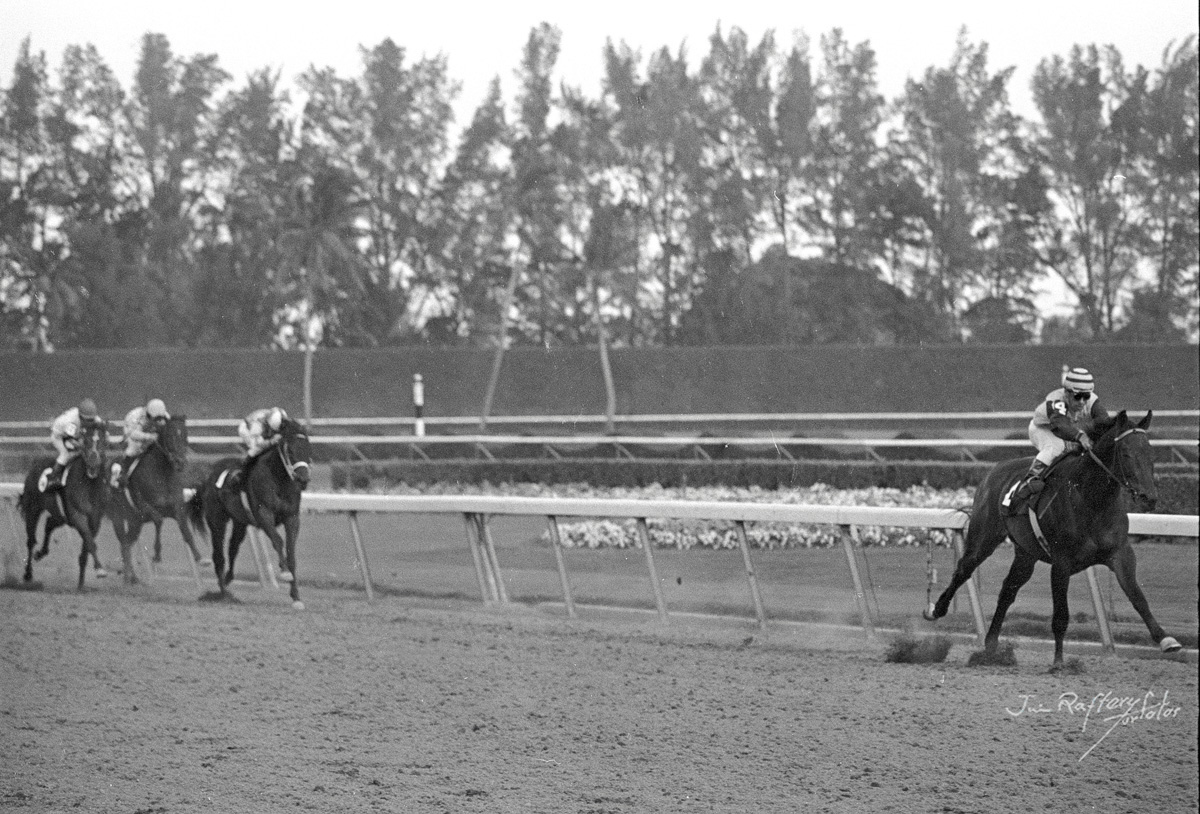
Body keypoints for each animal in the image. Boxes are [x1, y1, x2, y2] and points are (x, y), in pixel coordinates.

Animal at [17, 425, 110, 590]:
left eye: (103, 441)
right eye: (86, 441)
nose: (93, 462)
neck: (89, 485)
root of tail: (34, 465)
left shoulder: (95, 520)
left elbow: (87, 546)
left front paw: (81, 584)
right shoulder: (78, 516)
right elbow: (90, 542)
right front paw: (99, 569)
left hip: (60, 515)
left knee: (49, 524)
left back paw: (41, 553)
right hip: (33, 509)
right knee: (31, 541)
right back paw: (28, 574)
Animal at [108, 417, 208, 583]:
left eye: (185, 435)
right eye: (170, 436)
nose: (180, 462)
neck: (162, 474)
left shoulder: (176, 509)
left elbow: (185, 531)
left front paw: (200, 558)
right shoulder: (145, 508)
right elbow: (159, 520)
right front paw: (157, 554)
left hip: (135, 521)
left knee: (127, 543)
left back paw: (131, 577)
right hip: (118, 516)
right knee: (124, 542)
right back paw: (129, 576)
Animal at [186, 420, 309, 605]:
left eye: (308, 448)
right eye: (291, 451)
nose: (304, 479)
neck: (279, 481)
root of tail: (207, 477)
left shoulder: (292, 518)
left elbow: (291, 553)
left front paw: (296, 597)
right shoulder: (264, 515)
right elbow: (278, 541)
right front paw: (285, 572)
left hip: (240, 522)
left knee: (233, 548)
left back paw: (228, 579)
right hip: (217, 520)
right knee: (218, 555)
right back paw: (223, 593)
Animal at [926, 410, 1180, 672]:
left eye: (1151, 454)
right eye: (1127, 453)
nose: (1149, 498)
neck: (1092, 499)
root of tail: (994, 471)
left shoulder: (1120, 554)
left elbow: (1138, 597)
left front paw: (1166, 640)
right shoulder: (1061, 562)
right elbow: (1060, 615)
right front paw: (1058, 661)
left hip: (1026, 554)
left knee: (1008, 590)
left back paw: (991, 644)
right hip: (985, 537)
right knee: (964, 569)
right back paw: (936, 610)